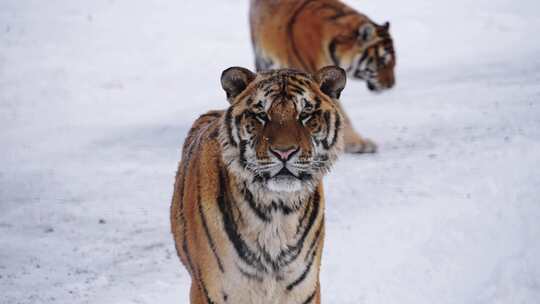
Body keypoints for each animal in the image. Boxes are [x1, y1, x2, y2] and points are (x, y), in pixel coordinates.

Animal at [170, 67, 346, 304]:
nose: (284, 152)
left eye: (305, 115)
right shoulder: (210, 290)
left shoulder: (303, 290)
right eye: (261, 115)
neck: (277, 211)